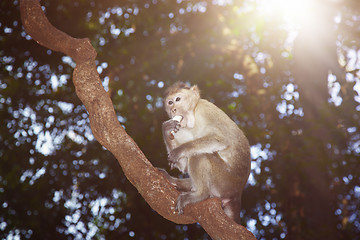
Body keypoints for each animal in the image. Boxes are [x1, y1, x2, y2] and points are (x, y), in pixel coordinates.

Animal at [160, 82, 250, 223]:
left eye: (177, 99)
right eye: (169, 102)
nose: (173, 109)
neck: (194, 115)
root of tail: (237, 193)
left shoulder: (206, 109)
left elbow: (222, 140)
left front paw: (180, 150)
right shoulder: (180, 128)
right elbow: (184, 166)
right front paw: (166, 129)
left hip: (224, 182)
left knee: (200, 155)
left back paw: (200, 195)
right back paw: (175, 182)